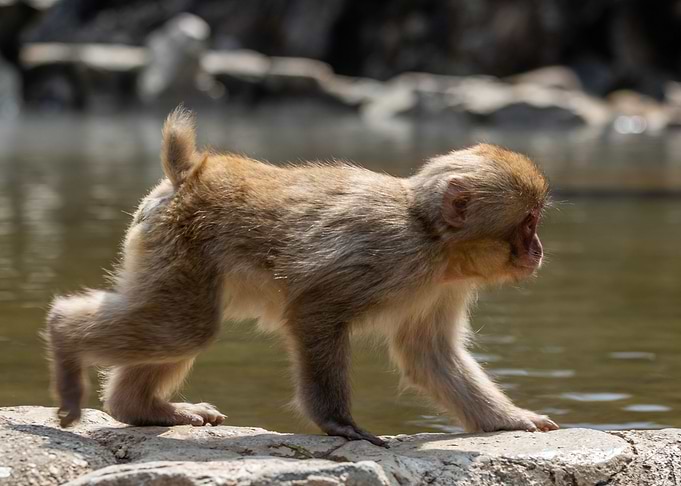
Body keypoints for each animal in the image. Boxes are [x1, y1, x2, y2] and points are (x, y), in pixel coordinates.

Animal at [44, 107, 558, 447]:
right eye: (527, 222)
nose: (538, 249)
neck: (432, 239)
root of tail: (188, 173)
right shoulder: (386, 253)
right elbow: (315, 309)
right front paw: (338, 423)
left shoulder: (445, 286)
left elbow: (427, 354)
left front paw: (510, 421)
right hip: (178, 246)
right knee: (184, 326)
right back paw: (64, 336)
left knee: (180, 326)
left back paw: (139, 408)